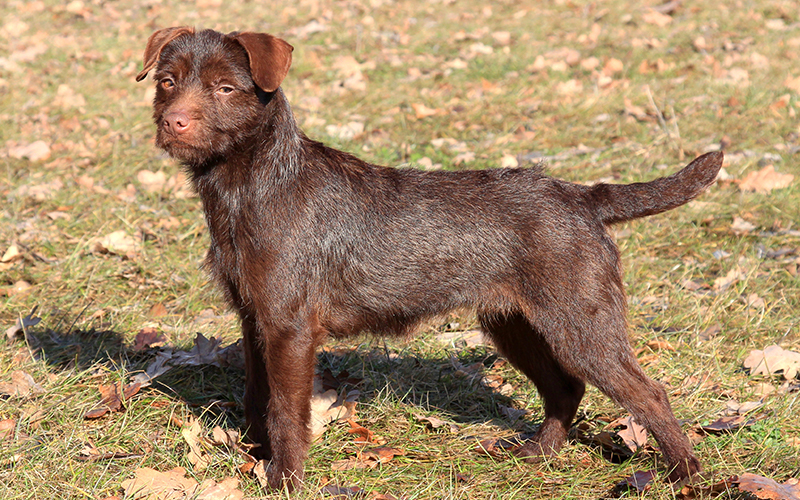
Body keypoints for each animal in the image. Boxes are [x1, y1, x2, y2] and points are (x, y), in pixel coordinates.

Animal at [138, 27, 724, 492]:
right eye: (167, 81)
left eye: (225, 87)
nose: (174, 123)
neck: (252, 185)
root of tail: (583, 196)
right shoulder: (254, 318)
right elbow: (256, 396)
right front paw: (257, 461)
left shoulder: (289, 327)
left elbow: (285, 410)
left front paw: (284, 481)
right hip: (514, 324)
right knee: (566, 387)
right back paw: (536, 455)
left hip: (581, 323)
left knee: (648, 393)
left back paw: (686, 476)